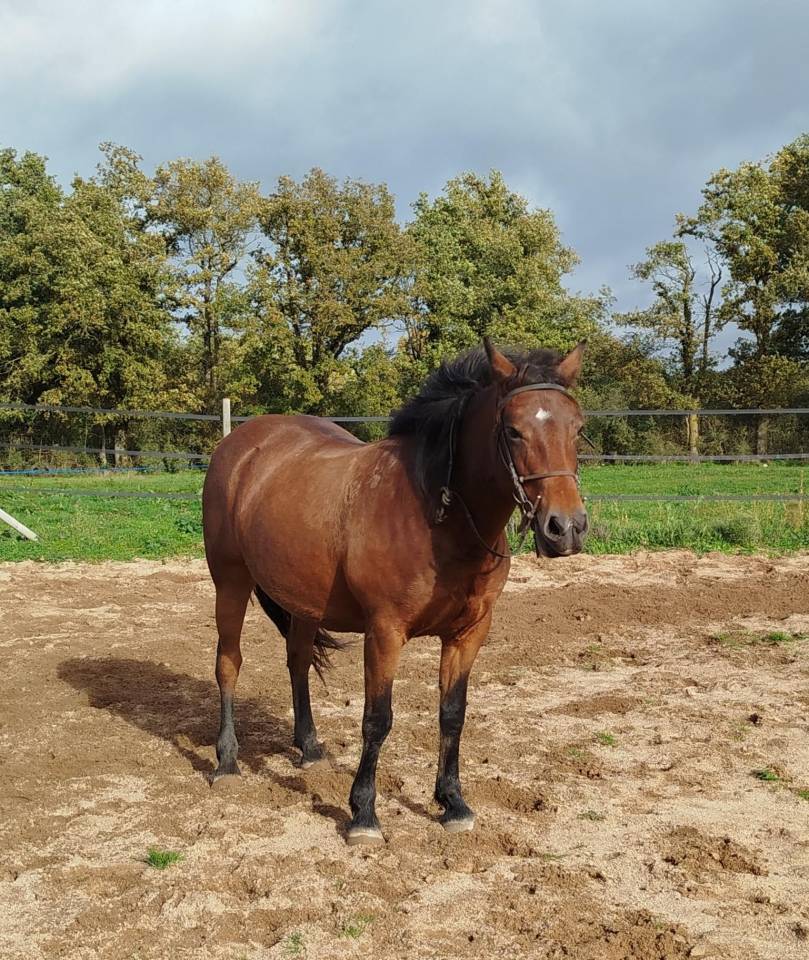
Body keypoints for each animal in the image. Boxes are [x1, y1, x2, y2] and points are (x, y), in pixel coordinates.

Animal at [202, 338, 588, 845]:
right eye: (513, 431)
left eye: (577, 428)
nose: (566, 528)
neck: (435, 517)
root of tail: (238, 444)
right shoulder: (384, 632)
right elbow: (377, 719)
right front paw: (363, 813)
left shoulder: (468, 634)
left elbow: (452, 714)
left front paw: (453, 803)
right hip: (229, 582)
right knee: (228, 663)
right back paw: (227, 760)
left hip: (303, 602)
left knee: (298, 661)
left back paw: (310, 748)